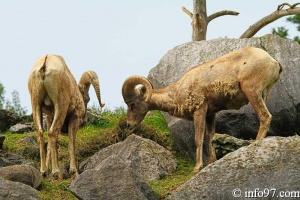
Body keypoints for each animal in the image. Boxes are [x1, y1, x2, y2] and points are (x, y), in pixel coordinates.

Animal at [122, 46, 282, 173]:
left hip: (252, 91)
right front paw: (211, 161)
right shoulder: (211, 114)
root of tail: (273, 62)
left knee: (265, 117)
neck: (176, 93)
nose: (129, 124)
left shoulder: (199, 111)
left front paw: (197, 167)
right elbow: (209, 137)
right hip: (262, 94)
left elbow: (198, 139)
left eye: (132, 104)